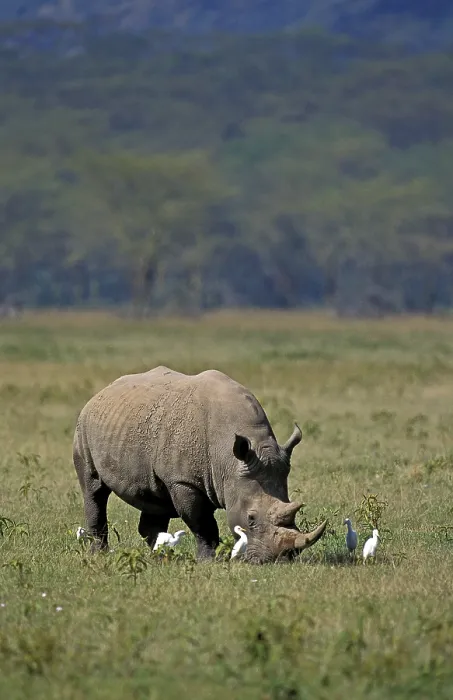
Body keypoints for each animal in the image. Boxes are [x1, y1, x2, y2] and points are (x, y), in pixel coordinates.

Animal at [72, 366, 327, 563]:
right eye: (251, 519)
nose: (282, 559)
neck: (230, 461)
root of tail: (102, 391)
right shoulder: (183, 481)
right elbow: (202, 523)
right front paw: (209, 561)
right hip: (84, 425)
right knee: (94, 489)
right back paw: (100, 554)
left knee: (153, 498)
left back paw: (160, 557)